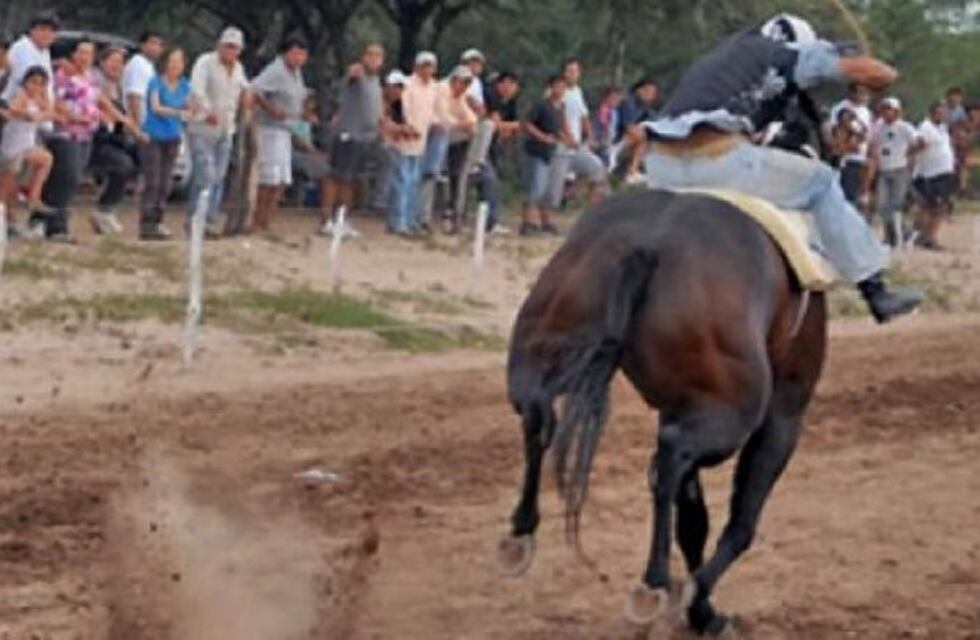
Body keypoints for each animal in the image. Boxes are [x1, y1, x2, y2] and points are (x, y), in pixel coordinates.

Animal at [497, 188, 828, 635]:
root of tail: (649, 244)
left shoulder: (676, 409)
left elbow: (692, 521)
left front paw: (701, 611)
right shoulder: (783, 416)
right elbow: (740, 520)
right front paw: (698, 603)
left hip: (544, 342)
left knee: (537, 417)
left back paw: (520, 533)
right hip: (728, 418)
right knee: (672, 459)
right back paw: (653, 583)